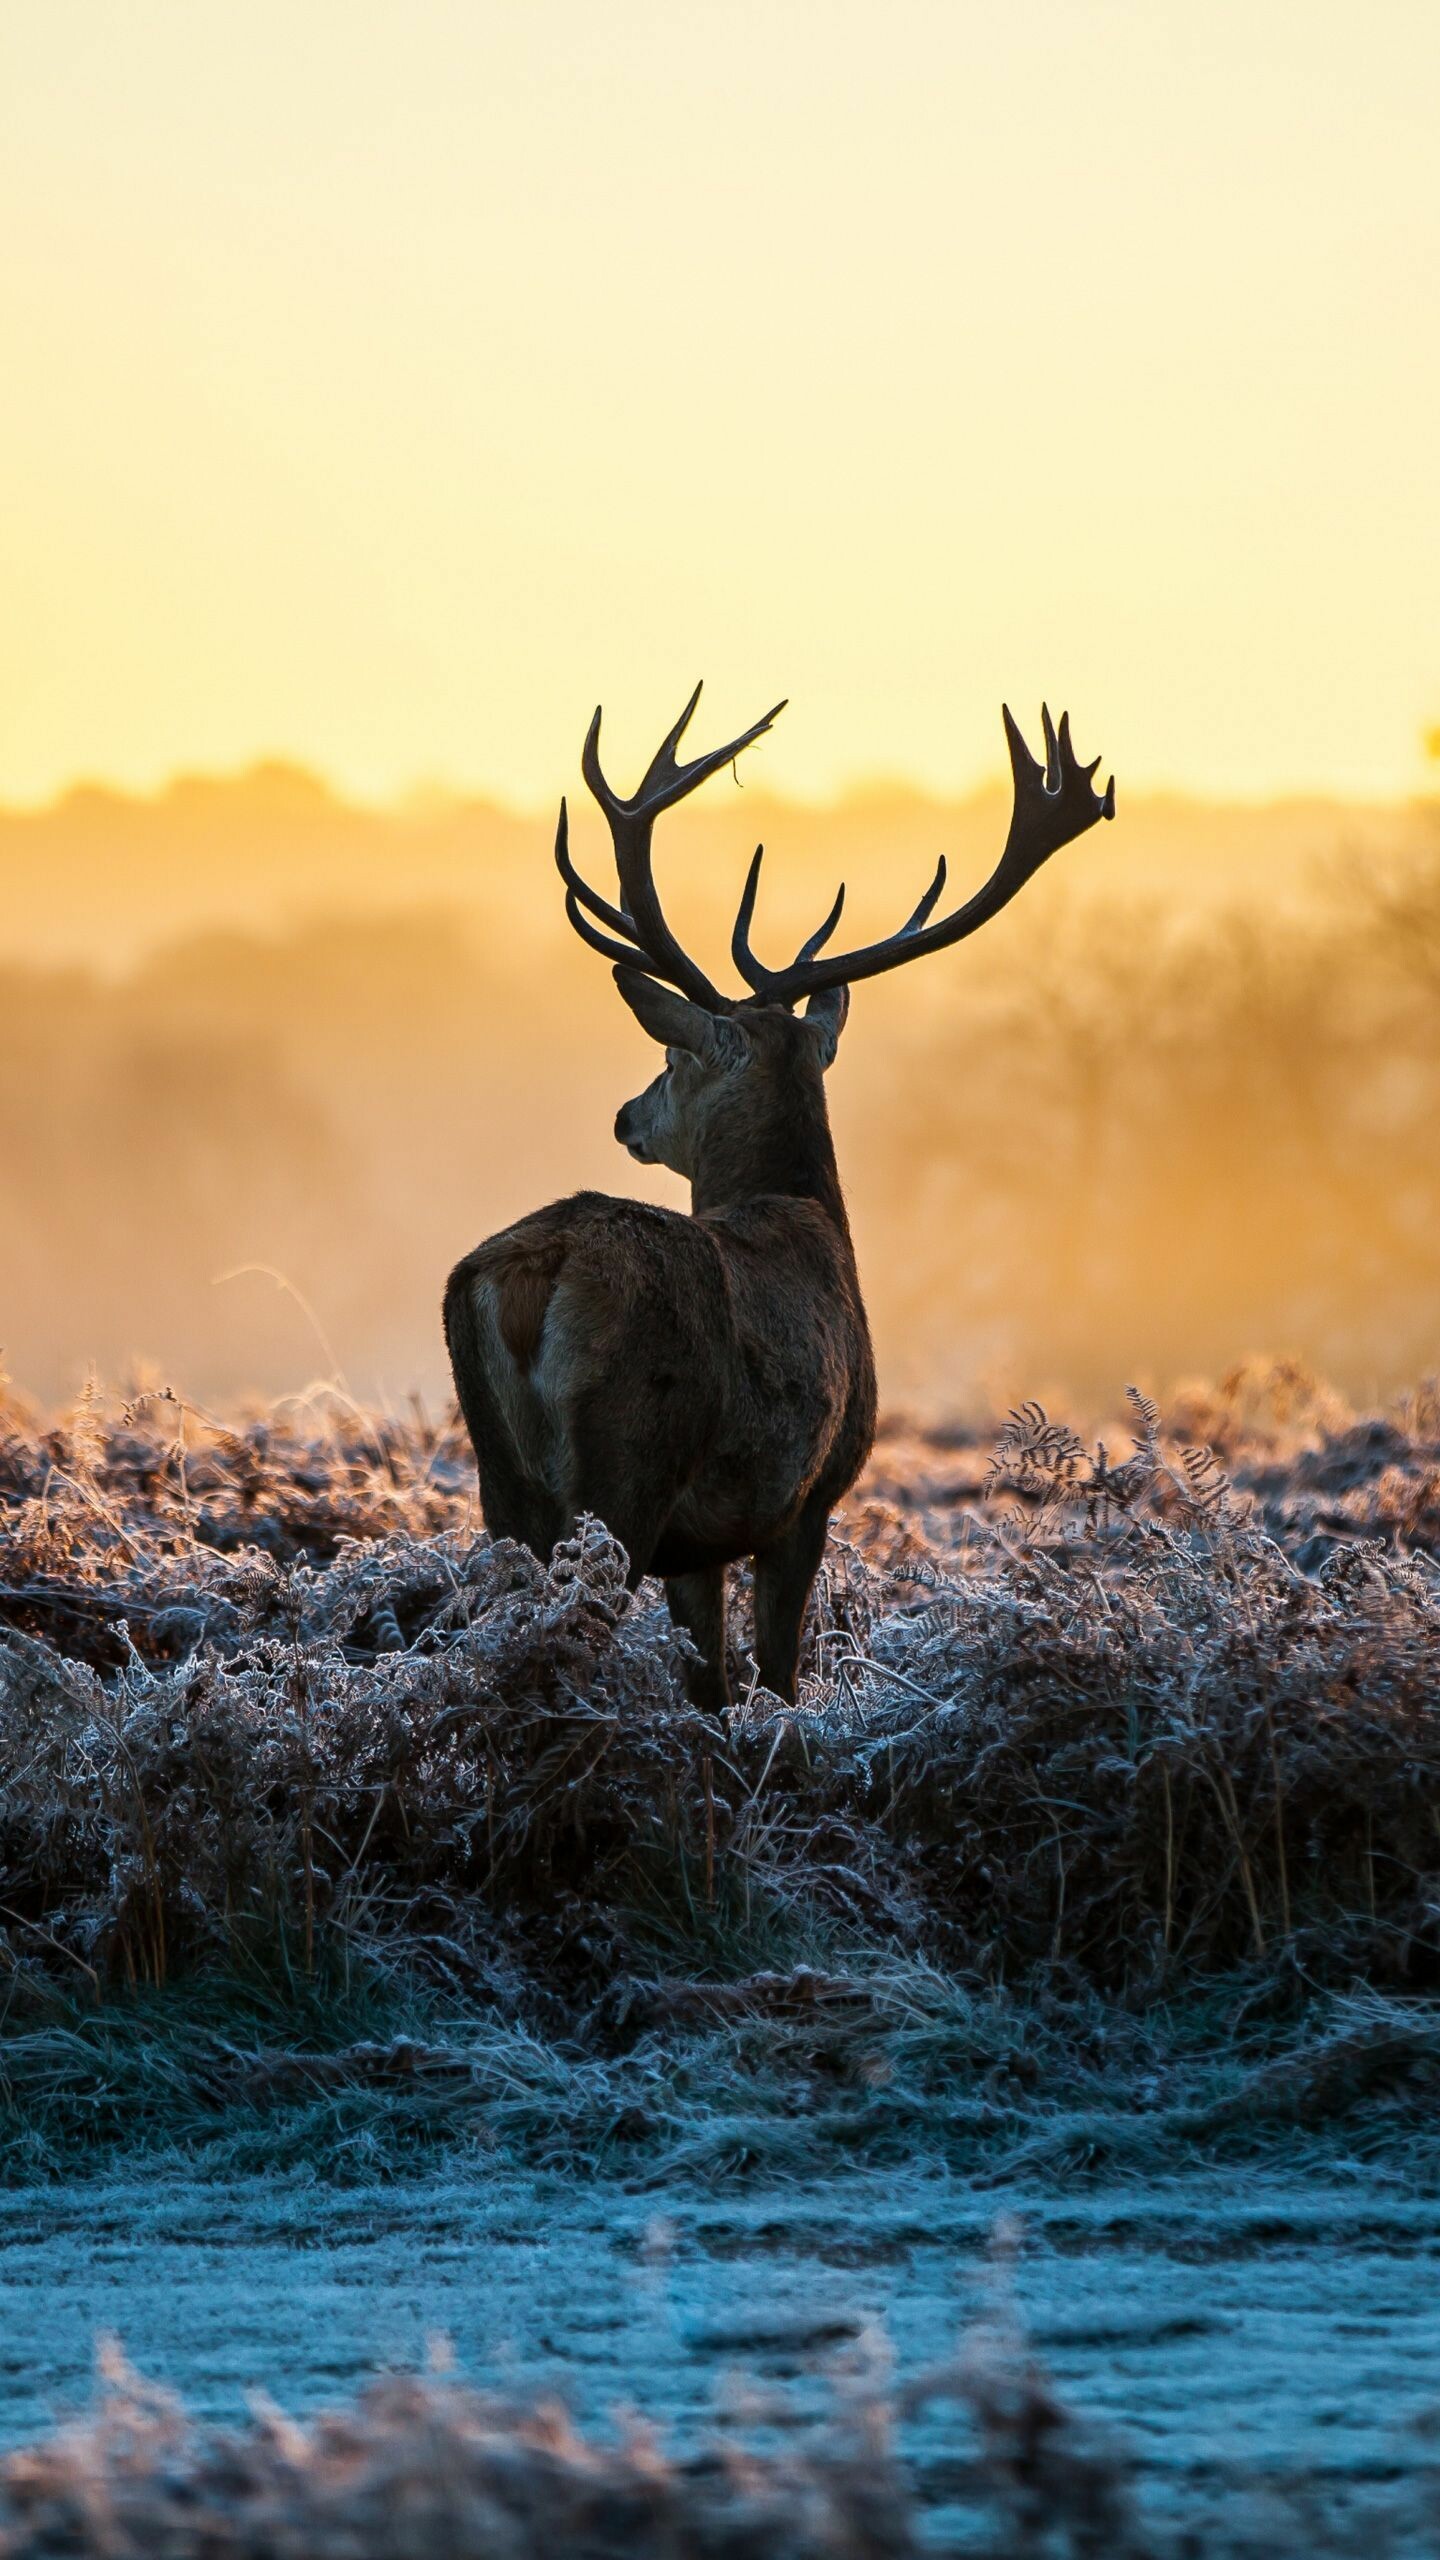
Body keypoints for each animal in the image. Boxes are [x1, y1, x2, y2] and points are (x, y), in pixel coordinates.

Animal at [445, 691, 1112, 1710]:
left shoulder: (702, 1544)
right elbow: (778, 1677)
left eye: (672, 1057)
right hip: (628, 1462)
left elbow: (711, 1683)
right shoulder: (808, 1496)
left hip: (502, 1481)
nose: (626, 1115)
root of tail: (532, 1274)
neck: (807, 1215)